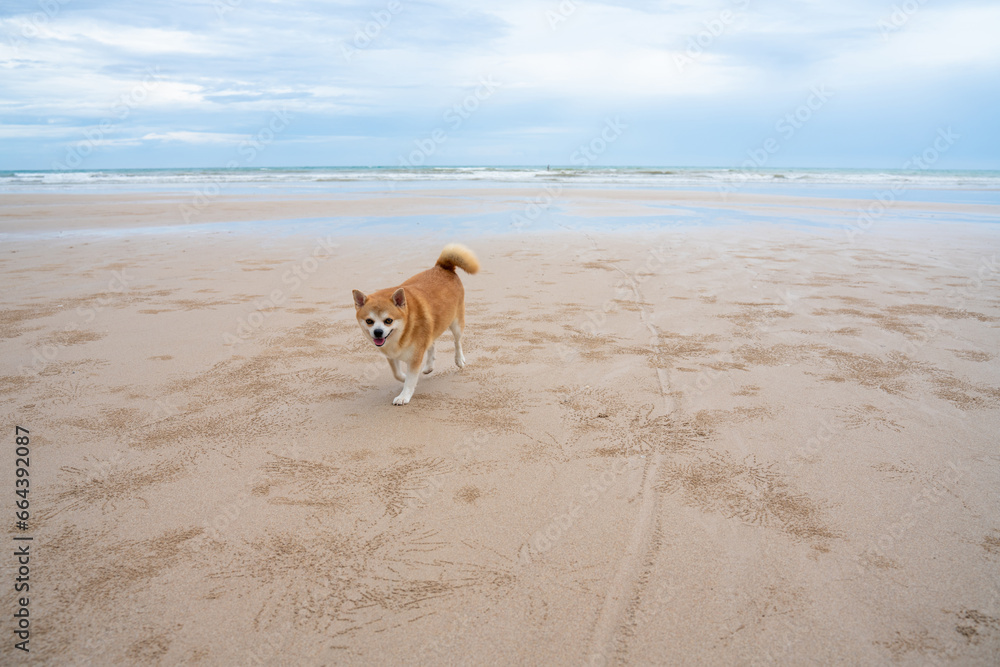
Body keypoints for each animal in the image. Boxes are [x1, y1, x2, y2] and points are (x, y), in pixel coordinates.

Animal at [352, 243, 480, 404]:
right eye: (369, 321)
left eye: (388, 321)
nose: (378, 332)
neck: (403, 331)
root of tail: (443, 267)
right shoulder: (391, 356)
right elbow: (397, 374)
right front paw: (404, 378)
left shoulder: (414, 358)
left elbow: (410, 379)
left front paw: (404, 396)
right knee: (432, 343)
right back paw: (429, 365)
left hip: (456, 323)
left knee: (457, 342)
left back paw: (459, 359)